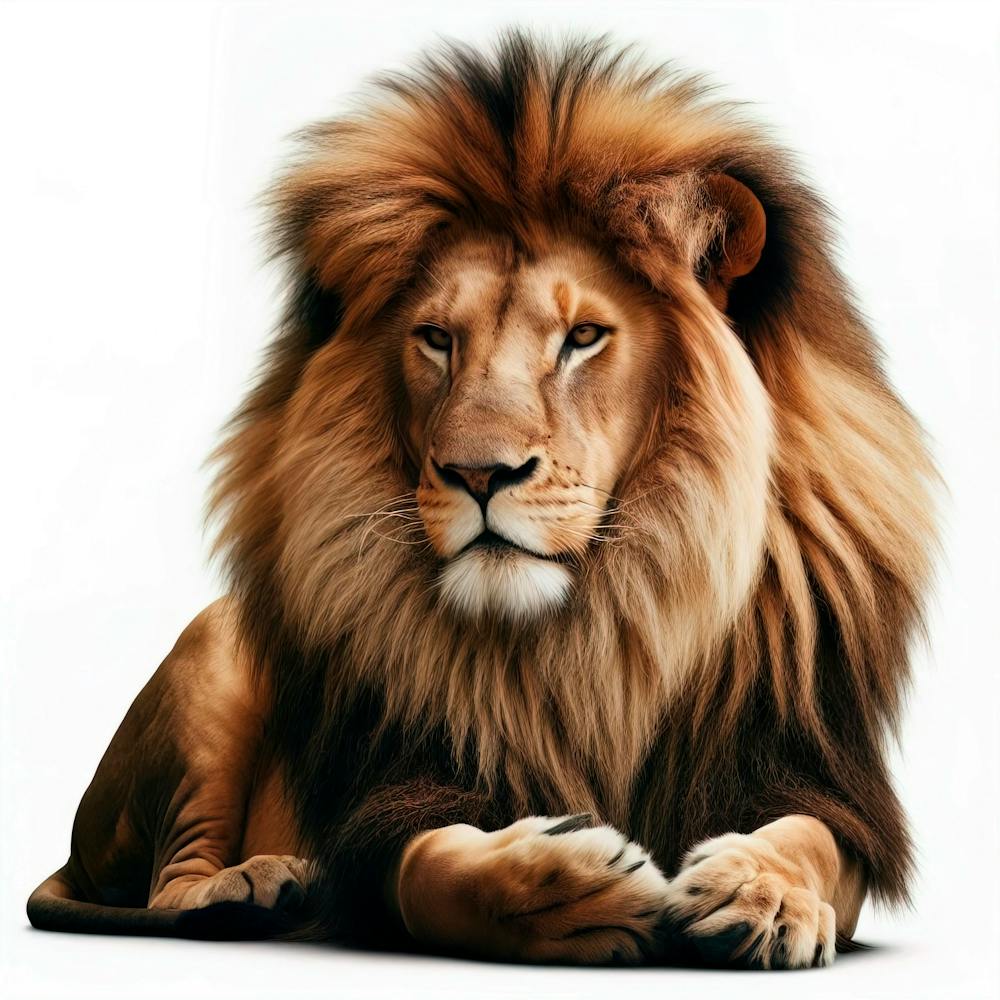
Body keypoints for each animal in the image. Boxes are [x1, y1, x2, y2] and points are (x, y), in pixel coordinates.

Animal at [27, 33, 937, 969]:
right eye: (436, 338)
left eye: (583, 337)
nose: (478, 473)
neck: (594, 638)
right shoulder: (394, 793)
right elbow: (434, 866)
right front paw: (562, 886)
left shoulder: (809, 772)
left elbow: (809, 839)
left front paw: (760, 893)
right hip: (213, 659)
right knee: (170, 882)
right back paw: (256, 883)